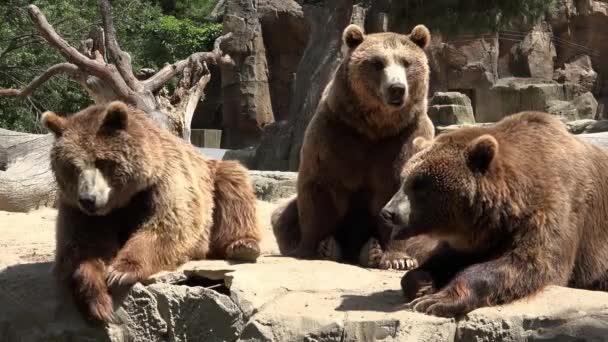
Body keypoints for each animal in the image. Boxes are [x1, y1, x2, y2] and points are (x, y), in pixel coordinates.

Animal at [42, 101, 262, 324]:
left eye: (102, 161)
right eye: (72, 167)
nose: (89, 199)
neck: (124, 199)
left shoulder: (164, 181)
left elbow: (167, 226)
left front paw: (121, 271)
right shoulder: (79, 211)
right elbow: (82, 246)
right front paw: (99, 304)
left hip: (214, 177)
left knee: (234, 185)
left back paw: (243, 246)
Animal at [274, 24, 440, 270]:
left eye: (406, 62)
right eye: (378, 63)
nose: (397, 88)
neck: (375, 127)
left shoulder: (406, 137)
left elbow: (400, 192)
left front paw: (399, 259)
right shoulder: (335, 133)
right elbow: (319, 185)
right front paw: (311, 248)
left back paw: (371, 251)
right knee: (281, 216)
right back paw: (331, 247)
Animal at [382, 111, 608, 318]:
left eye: (420, 186)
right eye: (403, 180)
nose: (388, 212)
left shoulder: (553, 208)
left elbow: (529, 262)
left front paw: (436, 300)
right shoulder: (477, 237)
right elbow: (442, 258)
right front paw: (424, 284)